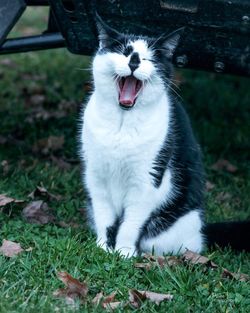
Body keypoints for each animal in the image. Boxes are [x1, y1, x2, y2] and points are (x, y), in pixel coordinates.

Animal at [80, 14, 250, 256]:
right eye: (123, 52)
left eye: (149, 59)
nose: (134, 62)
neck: (122, 124)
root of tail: (202, 233)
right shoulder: (96, 176)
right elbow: (105, 218)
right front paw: (103, 248)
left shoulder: (146, 182)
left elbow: (130, 224)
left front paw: (123, 253)